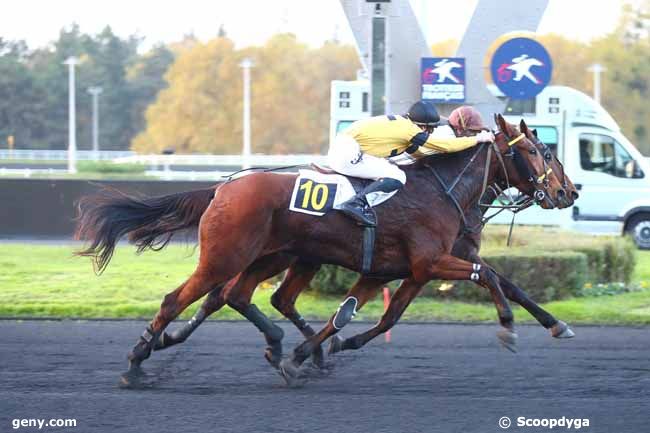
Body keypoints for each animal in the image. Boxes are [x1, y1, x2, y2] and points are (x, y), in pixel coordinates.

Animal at [74, 114, 560, 384]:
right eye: (540, 152)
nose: (566, 191)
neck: (442, 191)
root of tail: (223, 187)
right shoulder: (430, 262)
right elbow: (489, 277)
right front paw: (508, 327)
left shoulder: (400, 269)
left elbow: (369, 316)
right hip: (229, 255)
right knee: (183, 298)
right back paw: (138, 362)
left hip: (276, 256)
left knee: (240, 296)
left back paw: (274, 345)